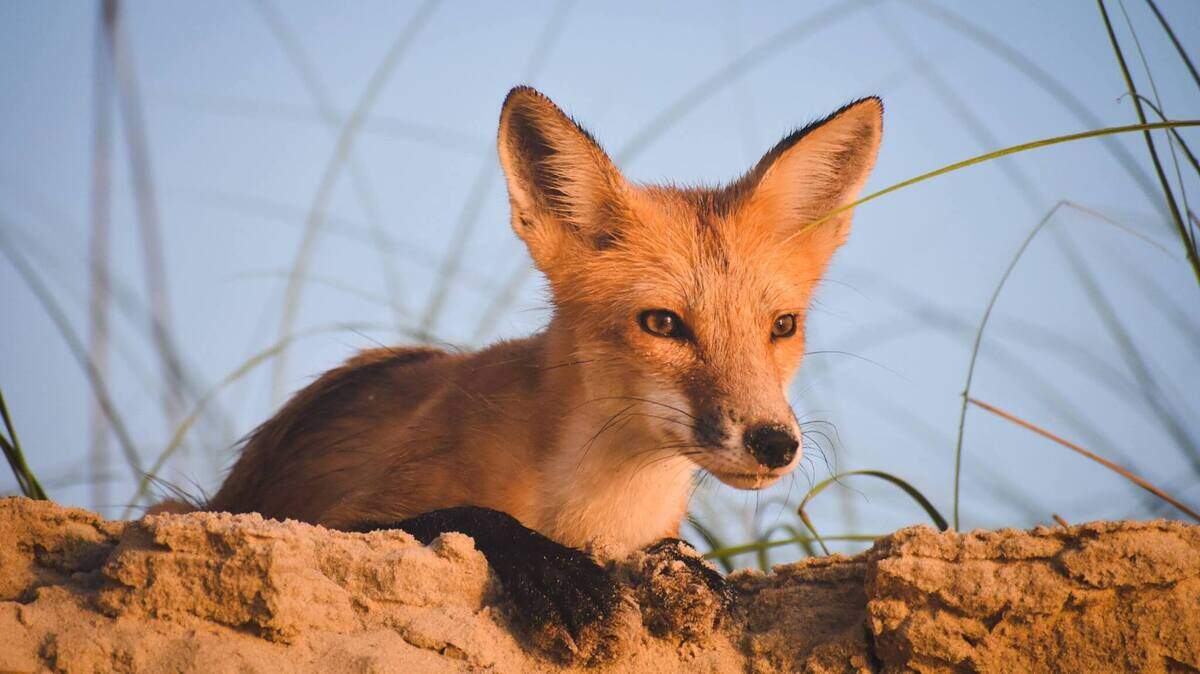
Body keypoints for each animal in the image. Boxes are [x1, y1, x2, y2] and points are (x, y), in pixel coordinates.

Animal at [200, 85, 882, 654]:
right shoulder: (327, 519)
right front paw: (555, 576)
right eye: (663, 324)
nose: (774, 443)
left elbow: (677, 554)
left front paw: (687, 566)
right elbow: (469, 517)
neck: (593, 509)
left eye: (783, 326)